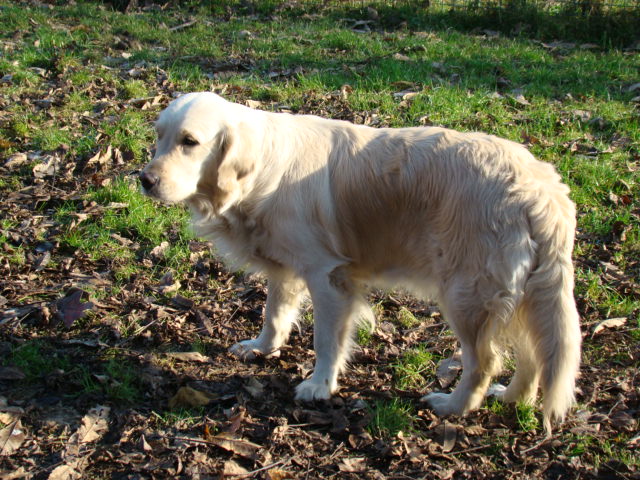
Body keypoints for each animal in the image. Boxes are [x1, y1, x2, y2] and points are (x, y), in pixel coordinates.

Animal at [142, 91, 584, 432]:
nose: (143, 180)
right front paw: (262, 347)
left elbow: (326, 340)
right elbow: (274, 313)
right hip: (522, 296)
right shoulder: (286, 269)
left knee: (486, 361)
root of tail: (540, 187)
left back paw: (453, 406)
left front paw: (319, 386)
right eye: (159, 137)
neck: (260, 171)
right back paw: (512, 398)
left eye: (190, 141)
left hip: (467, 294)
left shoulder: (327, 276)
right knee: (534, 355)